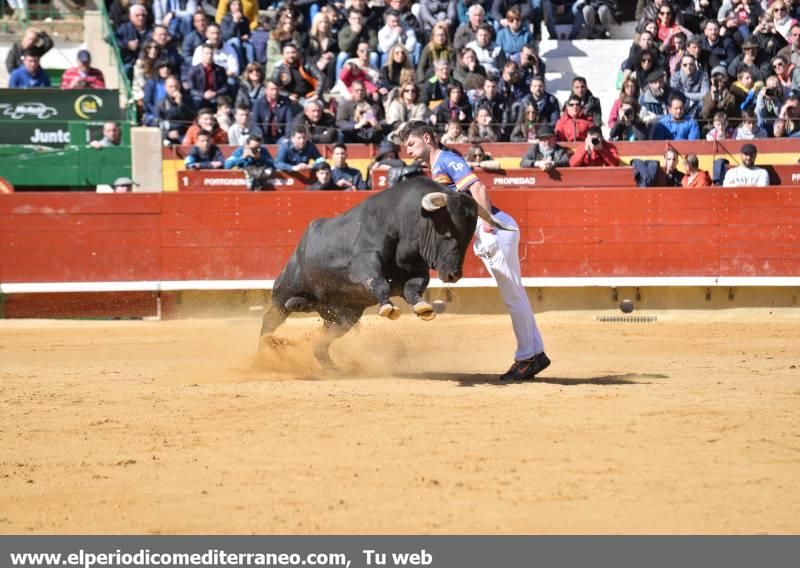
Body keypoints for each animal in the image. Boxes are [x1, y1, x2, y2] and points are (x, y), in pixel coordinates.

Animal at [260, 178, 478, 368]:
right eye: (447, 234)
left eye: (468, 238)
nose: (453, 275)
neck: (401, 220)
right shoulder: (365, 261)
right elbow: (378, 282)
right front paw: (388, 307)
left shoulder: (415, 271)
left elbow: (413, 289)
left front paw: (423, 307)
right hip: (285, 290)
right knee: (270, 320)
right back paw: (262, 353)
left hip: (343, 318)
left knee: (320, 342)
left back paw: (332, 368)